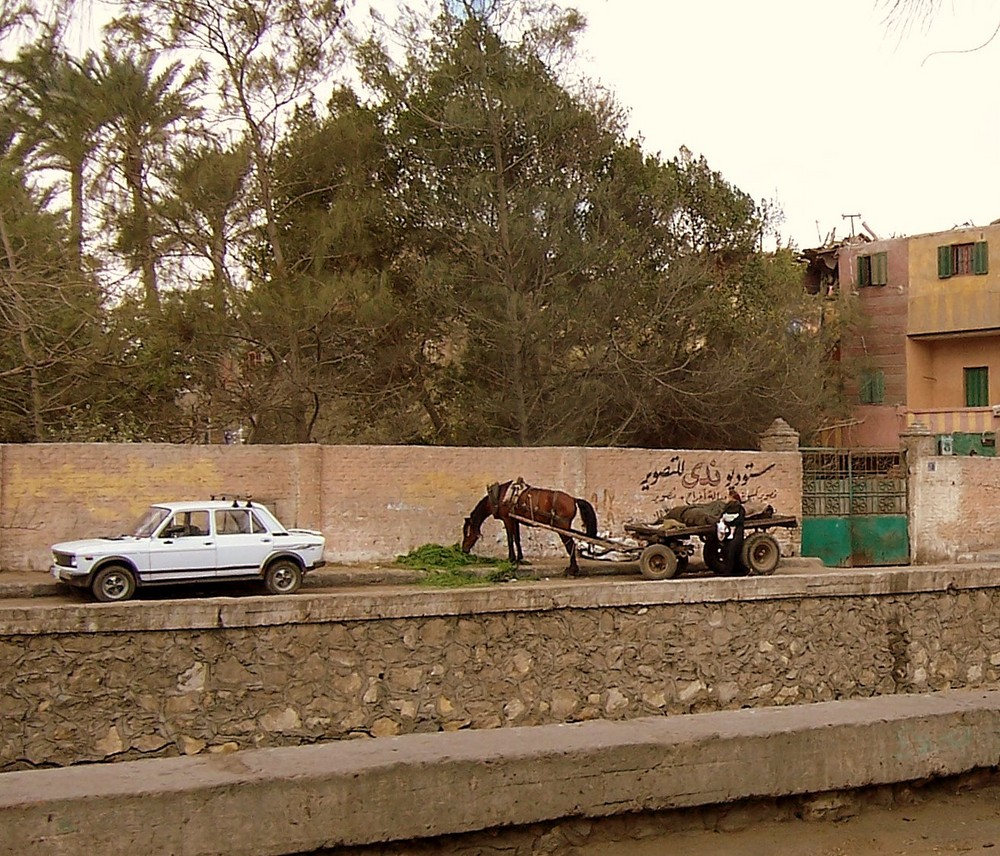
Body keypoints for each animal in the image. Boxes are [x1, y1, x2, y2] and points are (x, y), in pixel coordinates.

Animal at [458, 482, 592, 576]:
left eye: (467, 533)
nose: (464, 550)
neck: (500, 496)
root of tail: (574, 499)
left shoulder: (507, 519)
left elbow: (510, 539)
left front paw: (511, 559)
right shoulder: (515, 520)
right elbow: (517, 539)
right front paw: (520, 558)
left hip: (562, 526)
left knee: (570, 545)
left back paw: (572, 570)